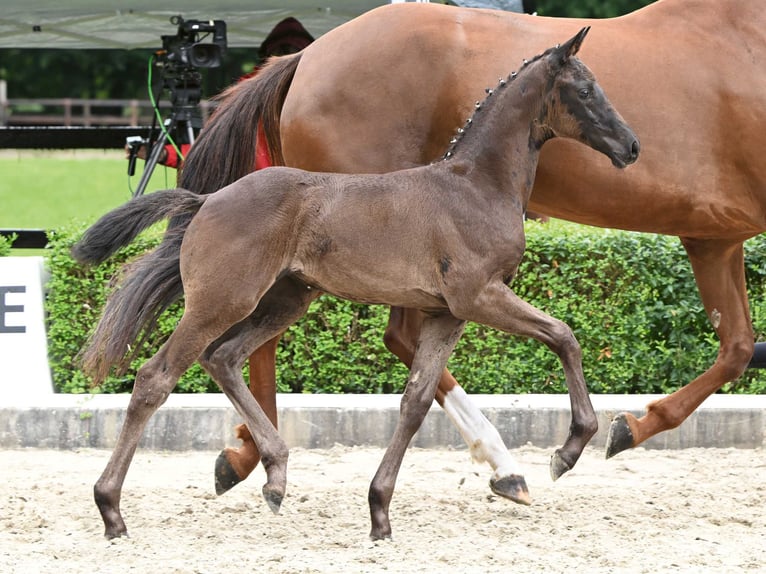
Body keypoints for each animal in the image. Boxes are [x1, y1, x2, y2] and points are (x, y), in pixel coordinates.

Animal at [75, 25, 640, 540]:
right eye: (585, 89)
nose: (632, 146)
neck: (476, 186)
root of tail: (207, 200)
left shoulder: (446, 313)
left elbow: (416, 401)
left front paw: (380, 512)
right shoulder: (479, 296)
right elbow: (564, 335)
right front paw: (569, 450)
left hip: (285, 300)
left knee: (224, 358)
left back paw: (276, 477)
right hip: (221, 301)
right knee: (156, 377)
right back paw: (111, 510)